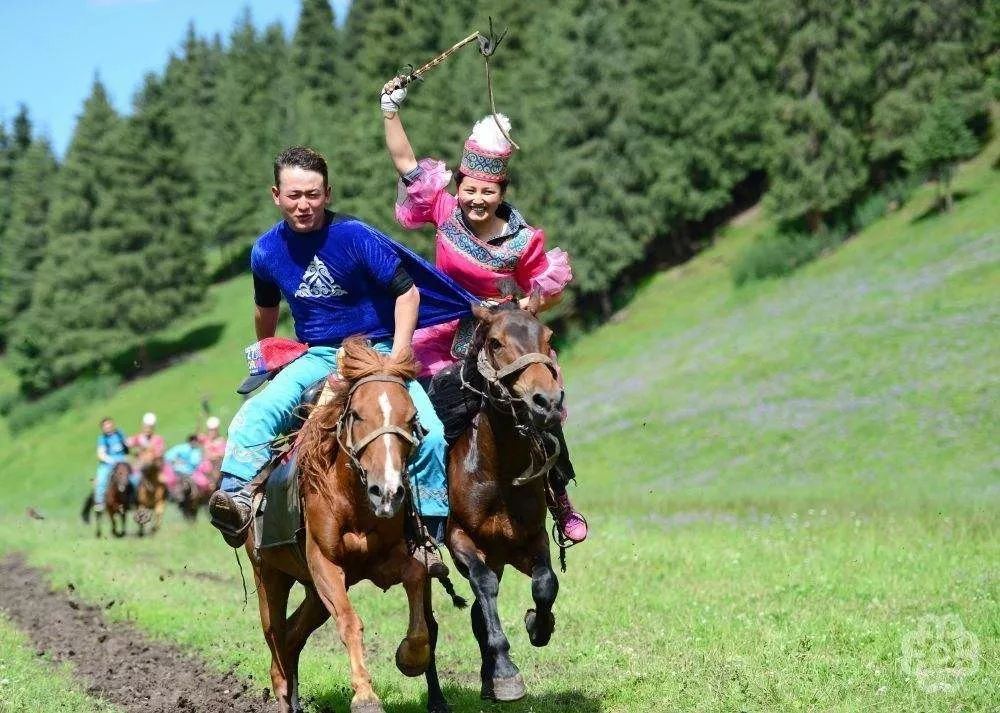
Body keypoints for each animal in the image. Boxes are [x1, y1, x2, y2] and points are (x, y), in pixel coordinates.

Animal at [244, 338, 458, 712]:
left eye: (411, 418)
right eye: (357, 414)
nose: (387, 491)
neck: (352, 498)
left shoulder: (387, 560)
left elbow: (417, 579)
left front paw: (411, 656)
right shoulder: (324, 564)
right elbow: (348, 620)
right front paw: (365, 696)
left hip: (312, 592)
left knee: (292, 636)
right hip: (269, 575)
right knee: (276, 643)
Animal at [444, 294, 564, 700]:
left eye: (548, 337)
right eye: (496, 343)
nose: (547, 401)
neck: (496, 473)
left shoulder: (532, 538)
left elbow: (545, 583)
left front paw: (538, 626)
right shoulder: (458, 538)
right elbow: (484, 586)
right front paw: (507, 672)